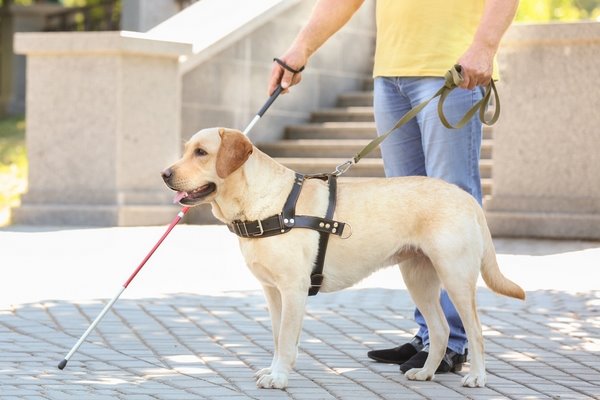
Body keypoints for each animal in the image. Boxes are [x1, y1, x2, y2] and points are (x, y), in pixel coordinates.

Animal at [163, 129, 524, 390]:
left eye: (201, 152)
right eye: (186, 149)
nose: (165, 173)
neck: (264, 204)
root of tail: (466, 197)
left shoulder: (293, 290)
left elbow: (286, 340)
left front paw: (279, 377)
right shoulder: (272, 292)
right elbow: (278, 338)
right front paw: (275, 369)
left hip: (455, 276)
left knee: (474, 330)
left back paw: (477, 377)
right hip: (418, 278)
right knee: (440, 329)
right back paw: (425, 373)